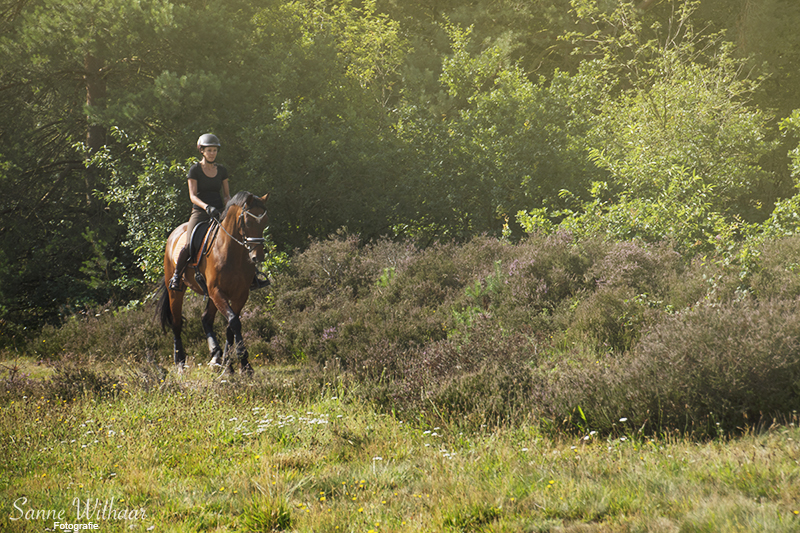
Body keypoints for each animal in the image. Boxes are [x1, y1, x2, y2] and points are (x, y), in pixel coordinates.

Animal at [157, 191, 270, 374]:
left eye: (265, 222)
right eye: (247, 222)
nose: (257, 257)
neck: (232, 252)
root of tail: (174, 233)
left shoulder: (240, 294)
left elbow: (231, 325)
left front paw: (230, 364)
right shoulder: (217, 291)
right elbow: (234, 321)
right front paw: (243, 361)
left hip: (210, 296)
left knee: (206, 319)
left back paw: (216, 355)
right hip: (176, 291)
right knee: (176, 323)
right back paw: (180, 362)